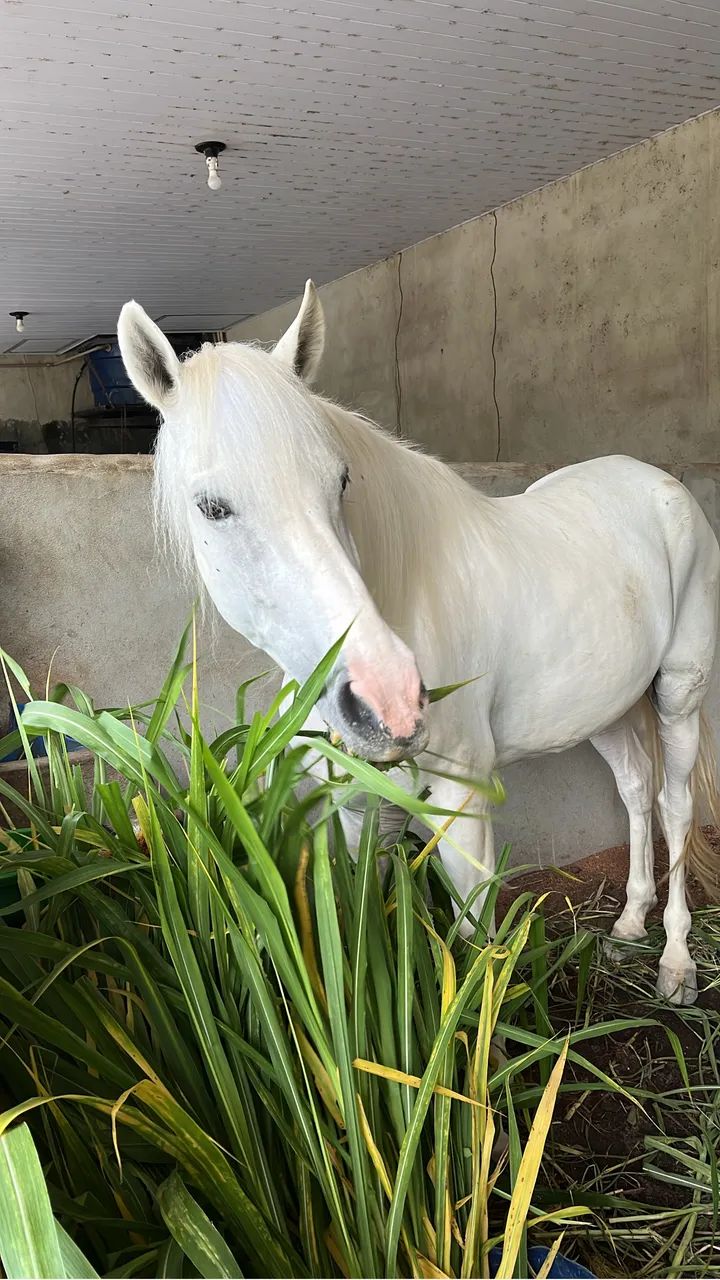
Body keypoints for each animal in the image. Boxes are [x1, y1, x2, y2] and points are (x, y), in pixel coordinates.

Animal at [118, 281, 720, 1006]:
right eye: (212, 506)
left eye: (341, 481)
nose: (391, 702)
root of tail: (658, 483)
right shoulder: (356, 808)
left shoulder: (462, 804)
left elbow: (471, 960)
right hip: (606, 707)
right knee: (635, 790)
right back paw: (630, 923)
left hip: (679, 695)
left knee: (674, 806)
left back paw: (677, 963)